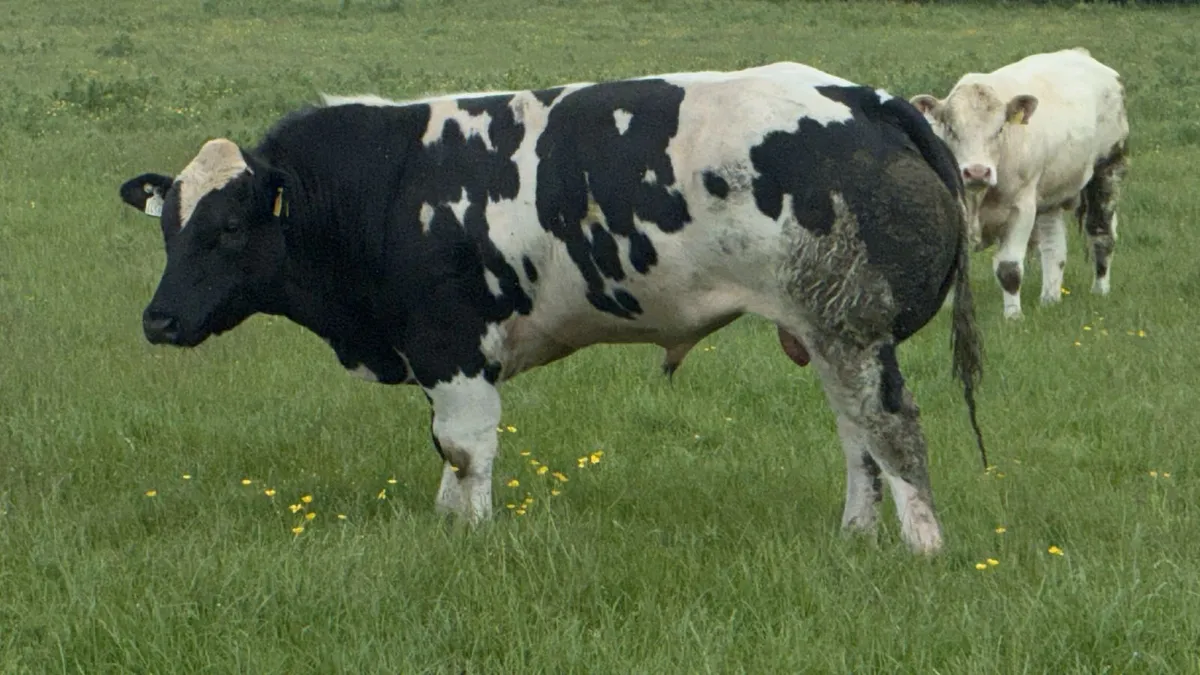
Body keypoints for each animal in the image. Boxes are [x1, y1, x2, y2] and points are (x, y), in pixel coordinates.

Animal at [118, 62, 985, 555]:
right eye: (167, 225)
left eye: (229, 227)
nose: (157, 319)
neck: (390, 187)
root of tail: (861, 98)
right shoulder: (437, 356)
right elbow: (446, 454)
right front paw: (447, 527)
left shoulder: (456, 349)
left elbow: (466, 450)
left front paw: (472, 537)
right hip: (830, 332)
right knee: (857, 438)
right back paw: (855, 536)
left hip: (850, 327)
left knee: (891, 429)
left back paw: (924, 547)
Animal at [909, 47, 1130, 319]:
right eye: (950, 128)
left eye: (999, 129)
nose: (977, 172)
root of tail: (1081, 54)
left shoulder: (1022, 208)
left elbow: (1009, 269)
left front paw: (1013, 316)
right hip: (1049, 198)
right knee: (1054, 248)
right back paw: (1050, 299)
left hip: (1108, 169)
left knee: (1102, 233)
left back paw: (1100, 290)